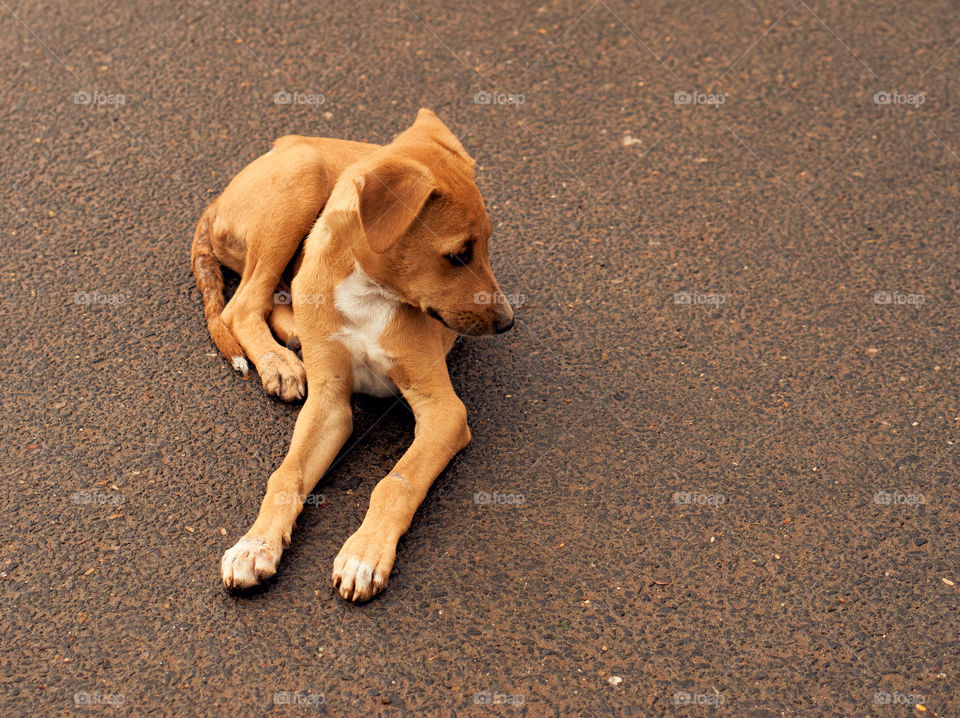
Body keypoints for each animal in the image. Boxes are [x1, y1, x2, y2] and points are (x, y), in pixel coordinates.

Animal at [190, 108, 512, 600]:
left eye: (489, 244)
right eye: (458, 255)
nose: (508, 321)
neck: (367, 291)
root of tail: (216, 201)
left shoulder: (444, 411)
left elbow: (395, 481)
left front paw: (364, 553)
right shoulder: (329, 404)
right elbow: (286, 475)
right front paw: (254, 545)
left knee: (268, 296)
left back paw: (291, 341)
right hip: (301, 178)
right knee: (241, 304)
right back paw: (279, 362)